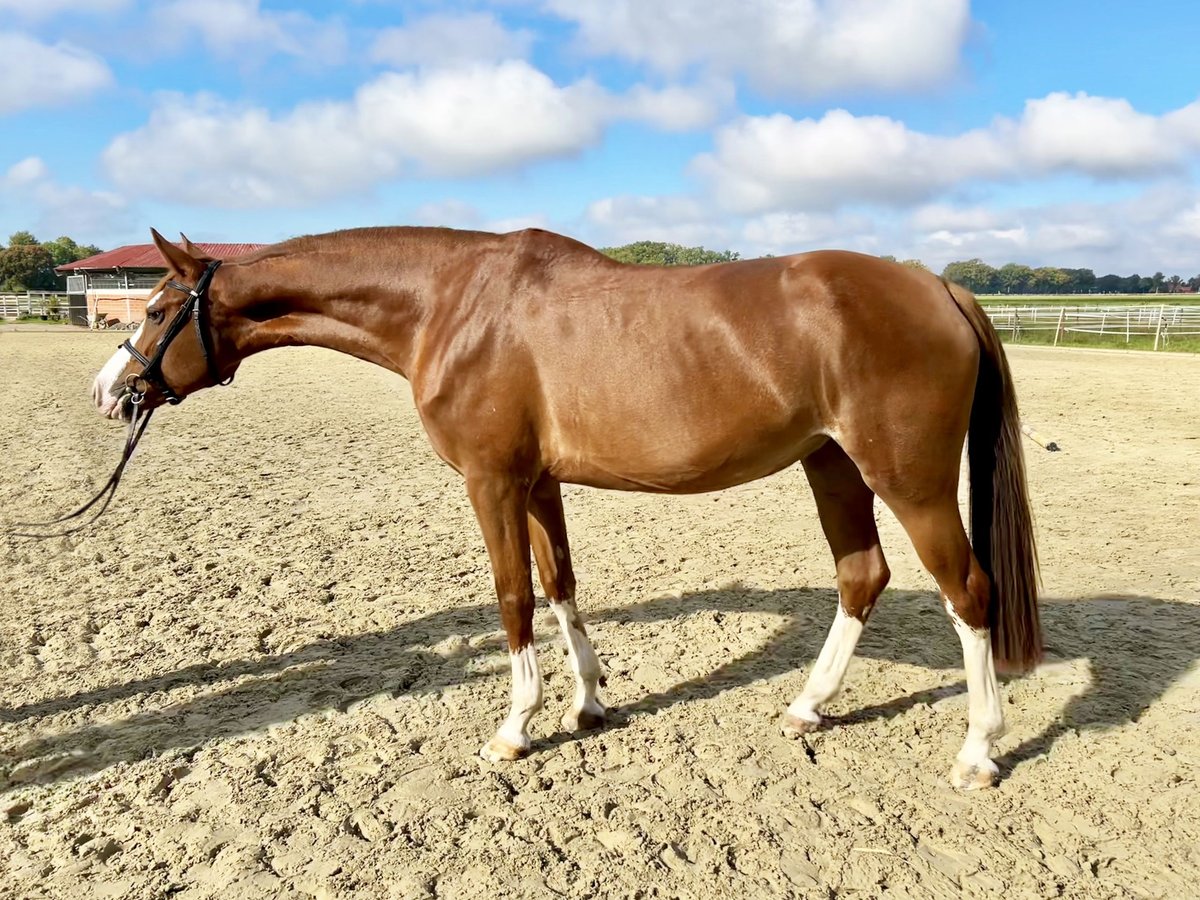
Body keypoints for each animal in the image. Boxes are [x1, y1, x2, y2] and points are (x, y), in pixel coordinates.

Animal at [91, 225, 1041, 787]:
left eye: (159, 307)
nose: (109, 391)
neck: (452, 304)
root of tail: (938, 288)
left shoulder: (490, 481)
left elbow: (512, 597)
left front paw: (514, 728)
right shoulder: (539, 483)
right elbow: (560, 587)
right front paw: (587, 703)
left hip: (909, 480)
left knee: (969, 594)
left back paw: (978, 752)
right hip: (833, 466)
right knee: (862, 577)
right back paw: (808, 706)